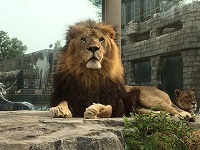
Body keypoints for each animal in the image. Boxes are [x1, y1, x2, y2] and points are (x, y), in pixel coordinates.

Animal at [48, 19, 192, 120]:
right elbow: (62, 102)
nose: (94, 48)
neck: (91, 75)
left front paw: (94, 110)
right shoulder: (66, 94)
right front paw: (59, 110)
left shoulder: (116, 103)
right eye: (83, 39)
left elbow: (108, 109)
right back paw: (158, 116)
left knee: (175, 110)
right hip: (141, 108)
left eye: (101, 39)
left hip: (149, 98)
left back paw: (185, 115)